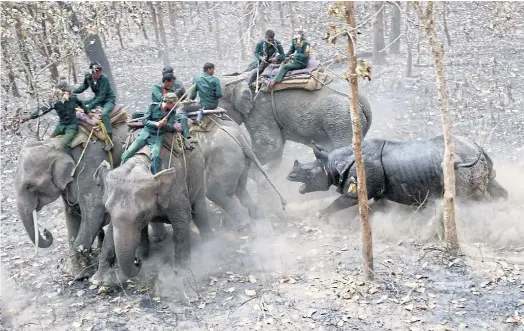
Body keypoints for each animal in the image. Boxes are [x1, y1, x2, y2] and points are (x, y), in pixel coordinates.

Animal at [13, 123, 128, 278]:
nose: (46, 231)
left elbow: (95, 211)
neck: (57, 145)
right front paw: (74, 271)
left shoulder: (90, 165)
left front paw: (80, 274)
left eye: (29, 186)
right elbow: (72, 213)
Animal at [92, 140, 213, 282]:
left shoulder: (176, 187)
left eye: (142, 216)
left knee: (199, 211)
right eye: (108, 210)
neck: (141, 162)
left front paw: (180, 274)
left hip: (198, 174)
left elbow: (182, 219)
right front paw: (98, 279)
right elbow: (111, 229)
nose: (137, 261)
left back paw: (210, 244)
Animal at [217, 74, 372, 172]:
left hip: (339, 119)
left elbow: (271, 147)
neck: (238, 78)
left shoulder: (259, 110)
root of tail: (363, 101)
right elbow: (276, 153)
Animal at [286, 134, 508, 223]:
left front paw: (320, 216)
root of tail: (478, 149)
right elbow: (379, 206)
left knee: (470, 201)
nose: (289, 175)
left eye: (308, 173)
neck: (332, 164)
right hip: (476, 162)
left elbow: (343, 201)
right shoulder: (378, 189)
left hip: (463, 167)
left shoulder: (359, 187)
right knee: (494, 186)